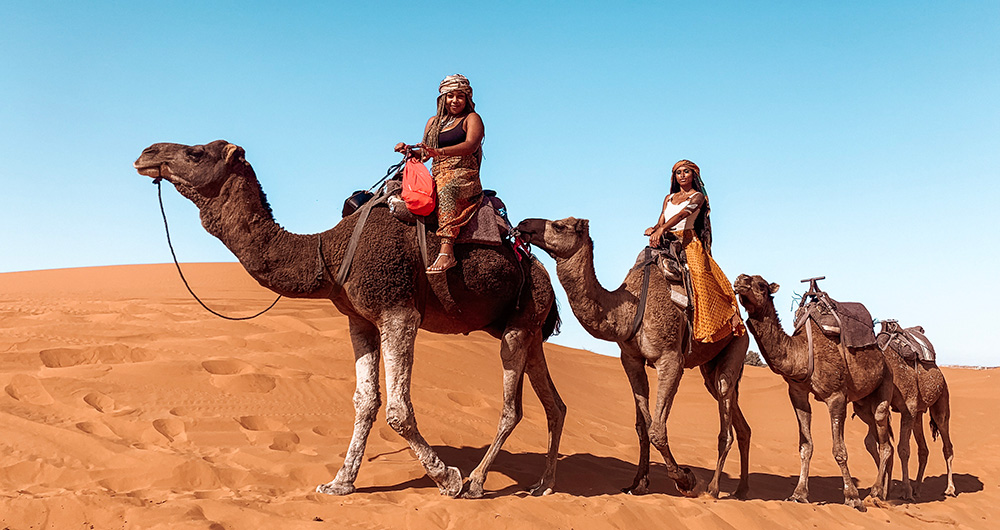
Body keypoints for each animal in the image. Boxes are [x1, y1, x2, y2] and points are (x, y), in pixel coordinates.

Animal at [136, 139, 568, 496]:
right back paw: (544, 484)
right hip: (527, 328)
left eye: (195, 153)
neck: (328, 252)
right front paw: (340, 483)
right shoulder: (360, 321)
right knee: (555, 404)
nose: (146, 154)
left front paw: (448, 478)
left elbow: (398, 410)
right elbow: (364, 402)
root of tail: (540, 269)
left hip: (521, 321)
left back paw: (477, 482)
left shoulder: (398, 312)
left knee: (512, 407)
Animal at [516, 217, 752, 498]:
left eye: (559, 225)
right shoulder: (630, 359)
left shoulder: (671, 360)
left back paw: (714, 489)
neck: (626, 310)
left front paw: (686, 480)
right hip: (710, 368)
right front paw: (638, 483)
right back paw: (741, 490)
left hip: (737, 345)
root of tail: (740, 321)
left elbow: (657, 429)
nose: (523, 224)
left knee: (725, 417)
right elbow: (643, 427)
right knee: (739, 420)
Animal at [732, 272, 896, 508]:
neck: (801, 352)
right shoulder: (797, 394)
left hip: (885, 383)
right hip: (863, 403)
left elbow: (839, 450)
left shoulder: (836, 396)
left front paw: (853, 497)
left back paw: (875, 492)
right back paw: (883, 493)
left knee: (885, 441)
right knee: (879, 436)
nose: (740, 280)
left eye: (762, 285)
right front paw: (799, 494)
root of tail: (884, 358)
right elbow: (805, 446)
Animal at [856, 328, 956, 498]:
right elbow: (872, 443)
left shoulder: (908, 406)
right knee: (923, 449)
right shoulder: (869, 409)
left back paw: (949, 488)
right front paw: (885, 489)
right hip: (919, 413)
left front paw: (904, 490)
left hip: (942, 398)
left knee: (946, 442)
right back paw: (917, 488)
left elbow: (902, 448)